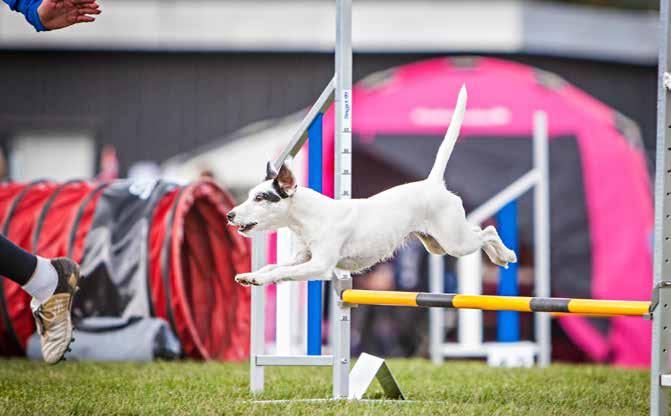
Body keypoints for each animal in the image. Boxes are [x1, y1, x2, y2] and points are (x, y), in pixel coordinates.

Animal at [228, 84, 516, 286]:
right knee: (479, 230)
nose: (229, 215)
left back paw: (504, 255)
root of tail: (433, 183)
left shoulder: (319, 265)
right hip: (438, 243)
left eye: (261, 198)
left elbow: (281, 273)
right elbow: (276, 267)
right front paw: (251, 274)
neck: (309, 218)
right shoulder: (302, 258)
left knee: (487, 231)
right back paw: (500, 256)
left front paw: (259, 279)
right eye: (250, 194)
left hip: (455, 241)